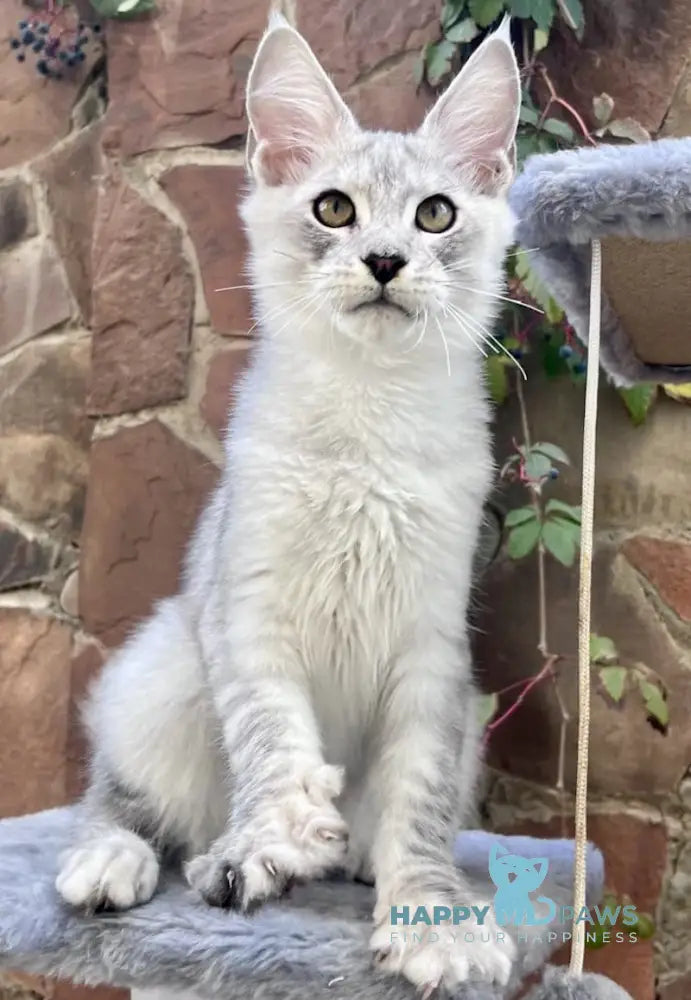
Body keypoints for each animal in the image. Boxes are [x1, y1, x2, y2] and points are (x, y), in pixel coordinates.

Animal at [58, 13, 520, 992]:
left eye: (434, 215)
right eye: (333, 209)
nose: (383, 260)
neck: (366, 418)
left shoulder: (432, 655)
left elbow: (419, 808)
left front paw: (431, 919)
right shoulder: (248, 616)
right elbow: (273, 742)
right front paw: (284, 831)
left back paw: (345, 858)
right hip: (162, 669)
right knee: (124, 800)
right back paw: (142, 859)